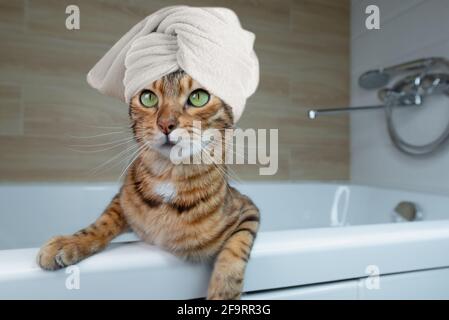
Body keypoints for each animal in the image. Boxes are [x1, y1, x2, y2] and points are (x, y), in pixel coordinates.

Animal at [36, 70, 260, 300]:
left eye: (199, 97)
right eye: (148, 98)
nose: (166, 124)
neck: (169, 177)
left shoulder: (248, 208)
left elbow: (237, 246)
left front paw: (224, 292)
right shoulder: (122, 200)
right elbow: (102, 223)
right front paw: (69, 242)